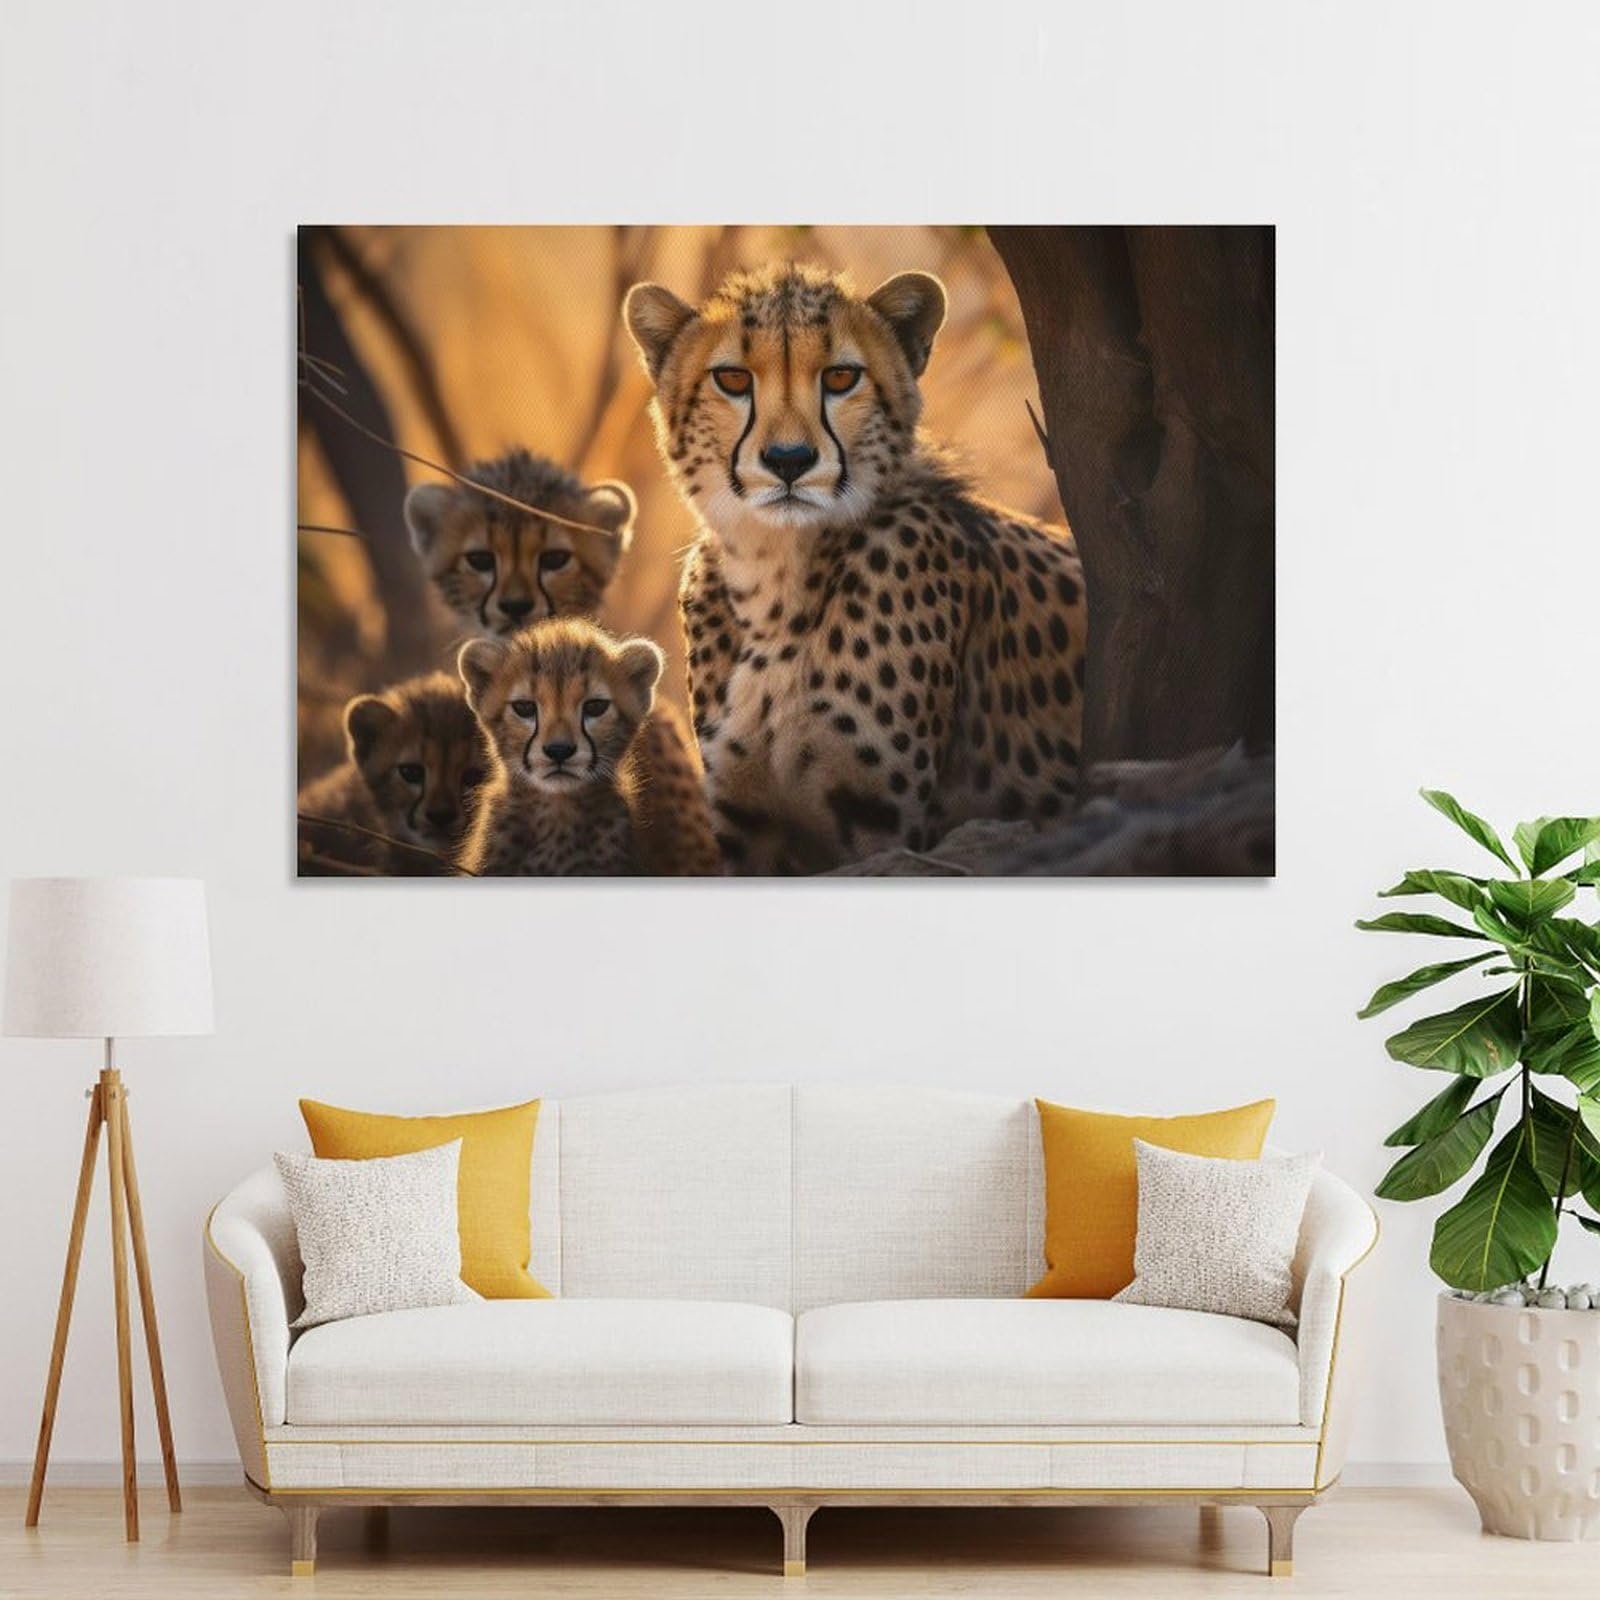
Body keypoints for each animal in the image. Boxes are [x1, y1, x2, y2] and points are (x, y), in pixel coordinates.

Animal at [623, 261, 1088, 874]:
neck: (775, 586)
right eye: (734, 380)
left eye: (841, 377)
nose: (789, 460)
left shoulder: (884, 826)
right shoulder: (750, 829)